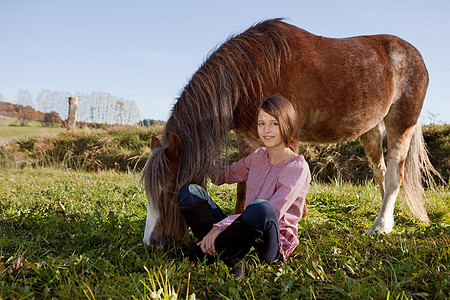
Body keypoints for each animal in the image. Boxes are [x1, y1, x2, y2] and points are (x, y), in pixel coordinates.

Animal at [142, 17, 436, 250]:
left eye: (170, 192)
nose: (150, 243)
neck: (255, 73)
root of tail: (415, 54)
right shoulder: (247, 140)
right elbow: (242, 187)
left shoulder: (289, 137)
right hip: (371, 131)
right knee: (381, 173)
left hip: (401, 125)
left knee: (394, 176)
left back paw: (381, 226)